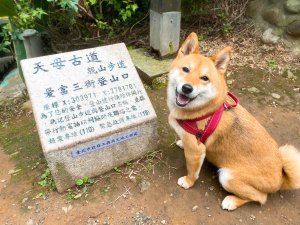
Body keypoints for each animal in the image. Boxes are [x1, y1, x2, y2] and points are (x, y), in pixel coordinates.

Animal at [166, 32, 300, 211]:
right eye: (186, 69)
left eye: (204, 78)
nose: (187, 88)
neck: (205, 110)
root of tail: (280, 175)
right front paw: (181, 143)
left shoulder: (196, 150)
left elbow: (192, 171)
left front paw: (188, 182)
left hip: (227, 176)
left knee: (261, 197)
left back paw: (231, 201)